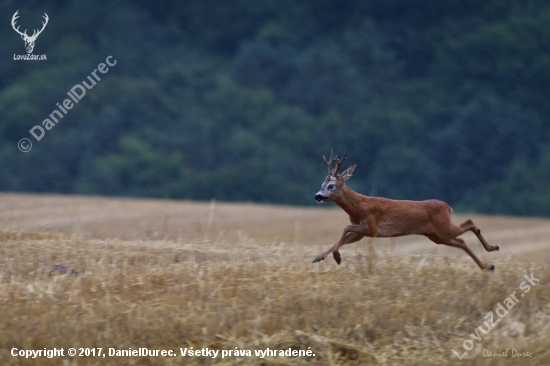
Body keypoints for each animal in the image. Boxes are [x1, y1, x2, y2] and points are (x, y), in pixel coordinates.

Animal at [314, 150, 500, 270]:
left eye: (331, 185)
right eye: (322, 184)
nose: (317, 195)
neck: (358, 207)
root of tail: (448, 206)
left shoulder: (371, 226)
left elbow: (345, 228)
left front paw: (337, 257)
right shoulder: (361, 232)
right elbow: (343, 236)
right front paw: (319, 257)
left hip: (443, 228)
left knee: (469, 222)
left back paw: (492, 249)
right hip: (437, 236)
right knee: (461, 241)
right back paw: (488, 265)